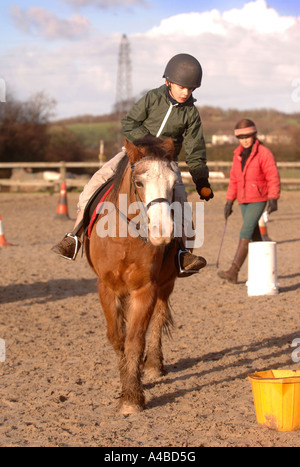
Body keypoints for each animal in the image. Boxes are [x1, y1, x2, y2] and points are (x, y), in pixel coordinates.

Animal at [84, 134, 179, 414]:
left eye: (173, 183)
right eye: (139, 182)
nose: (163, 231)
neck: (124, 238)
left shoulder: (145, 288)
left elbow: (135, 340)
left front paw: (132, 397)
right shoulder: (107, 288)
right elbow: (118, 338)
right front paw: (127, 380)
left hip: (166, 284)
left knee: (158, 318)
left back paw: (154, 365)